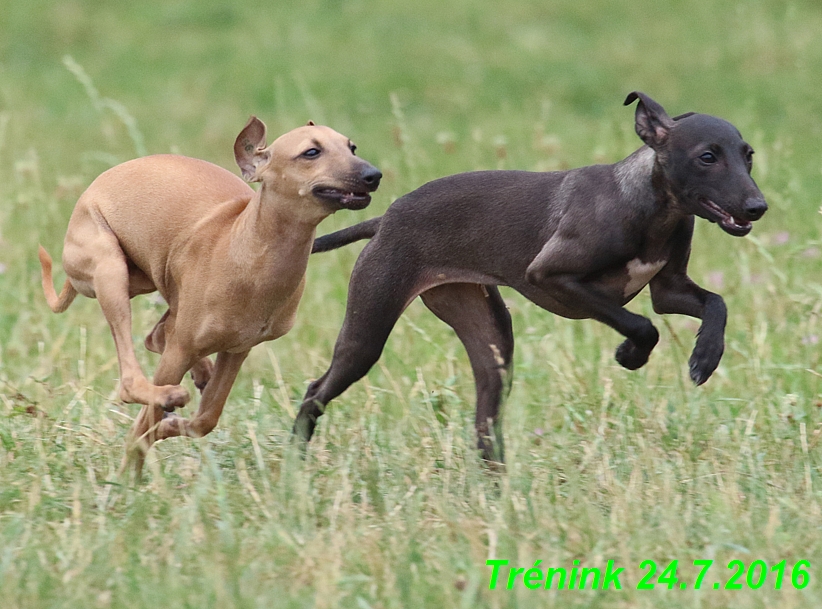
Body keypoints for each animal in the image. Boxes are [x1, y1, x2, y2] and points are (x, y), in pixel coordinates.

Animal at [40, 116, 382, 472]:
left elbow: (206, 418)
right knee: (131, 379)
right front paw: (128, 474)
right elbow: (143, 429)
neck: (250, 249)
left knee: (156, 335)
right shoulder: (179, 352)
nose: (373, 175)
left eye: (351, 147)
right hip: (110, 269)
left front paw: (169, 427)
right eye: (311, 152)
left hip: (148, 281)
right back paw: (168, 396)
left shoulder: (237, 350)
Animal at [294, 92, 768, 458]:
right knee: (315, 391)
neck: (649, 206)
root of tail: (386, 218)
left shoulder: (668, 290)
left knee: (484, 428)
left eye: (748, 156)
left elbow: (716, 304)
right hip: (367, 330)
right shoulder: (551, 277)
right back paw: (297, 460)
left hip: (491, 344)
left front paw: (705, 356)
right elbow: (641, 325)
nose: (757, 207)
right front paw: (630, 355)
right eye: (707, 157)